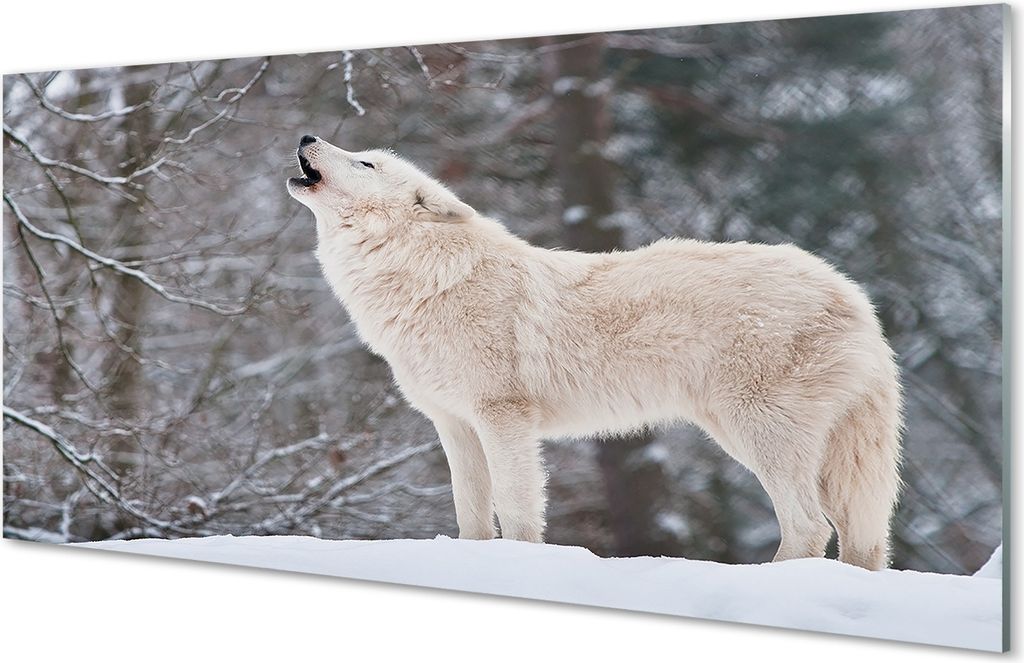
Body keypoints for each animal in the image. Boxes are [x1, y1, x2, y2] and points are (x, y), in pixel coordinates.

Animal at [286, 134, 903, 570]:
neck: (425, 275)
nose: (306, 136)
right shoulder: (454, 425)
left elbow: (516, 509)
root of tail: (851, 293)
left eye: (365, 164)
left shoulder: (503, 419)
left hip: (757, 431)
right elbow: (471, 516)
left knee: (809, 526)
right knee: (857, 536)